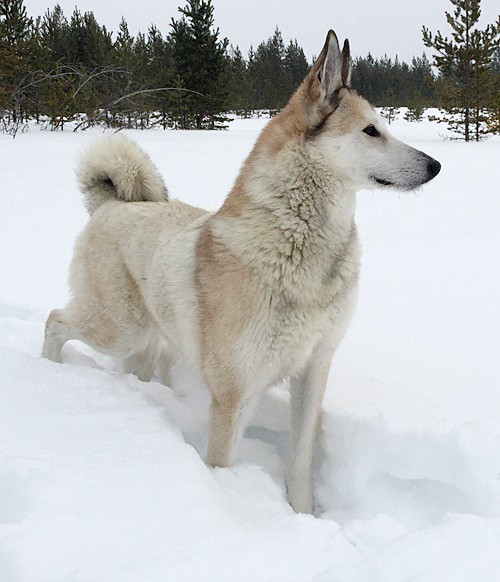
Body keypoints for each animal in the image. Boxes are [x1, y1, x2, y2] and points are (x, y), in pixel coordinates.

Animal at [42, 30, 441, 514]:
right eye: (371, 131)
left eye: (383, 126)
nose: (436, 165)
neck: (298, 247)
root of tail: (112, 206)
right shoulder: (234, 393)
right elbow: (222, 463)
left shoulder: (313, 371)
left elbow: (301, 461)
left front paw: (302, 514)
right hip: (120, 327)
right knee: (55, 320)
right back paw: (49, 369)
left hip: (142, 338)